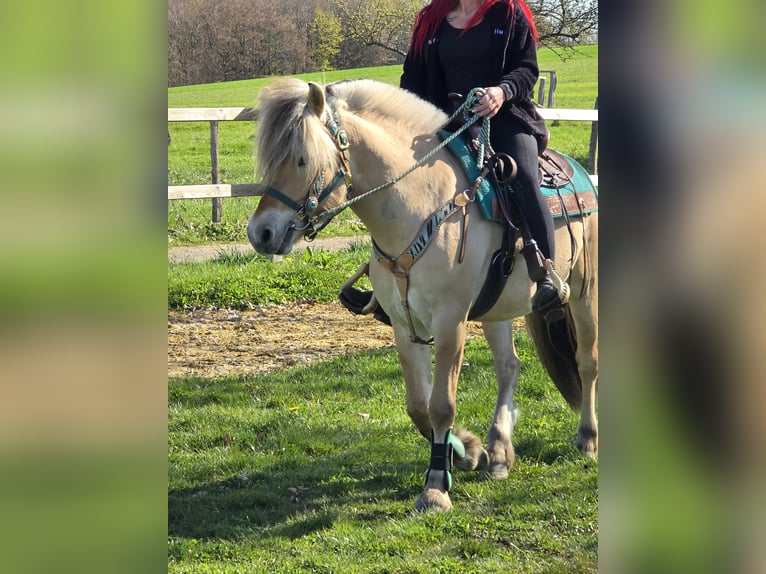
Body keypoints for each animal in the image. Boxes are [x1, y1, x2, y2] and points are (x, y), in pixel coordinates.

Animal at [246, 78, 598, 512]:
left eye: (301, 160)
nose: (260, 233)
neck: (420, 204)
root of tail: (581, 173)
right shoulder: (403, 325)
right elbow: (419, 407)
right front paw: (465, 452)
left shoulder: (450, 322)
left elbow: (441, 404)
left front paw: (435, 488)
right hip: (497, 311)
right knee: (509, 367)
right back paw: (499, 452)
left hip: (583, 293)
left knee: (587, 362)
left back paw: (587, 438)